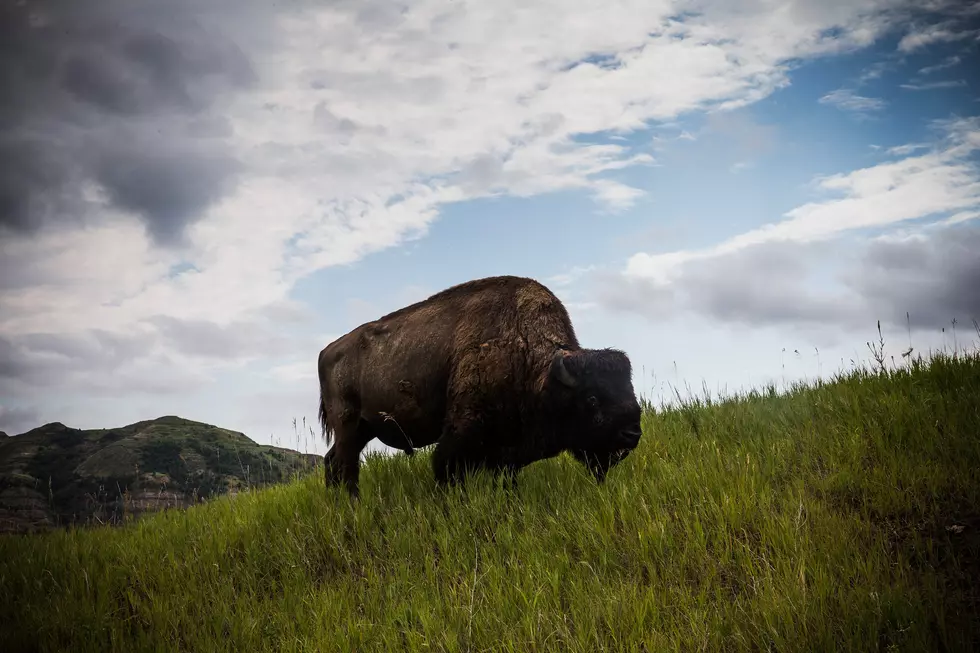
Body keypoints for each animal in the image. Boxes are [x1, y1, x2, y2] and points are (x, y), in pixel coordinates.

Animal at [317, 275, 643, 497]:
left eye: (630, 391)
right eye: (592, 399)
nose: (632, 434)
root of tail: (327, 351)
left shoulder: (507, 453)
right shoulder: (460, 434)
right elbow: (446, 470)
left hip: (363, 429)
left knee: (333, 461)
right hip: (348, 425)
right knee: (346, 465)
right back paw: (352, 502)